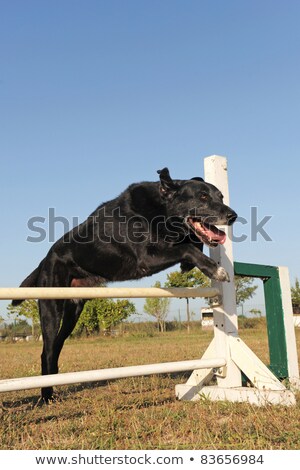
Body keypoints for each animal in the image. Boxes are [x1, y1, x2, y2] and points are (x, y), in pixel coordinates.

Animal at [13, 169, 237, 400]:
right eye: (203, 196)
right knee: (47, 351)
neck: (161, 209)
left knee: (56, 347)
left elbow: (193, 242)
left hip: (73, 311)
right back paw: (46, 395)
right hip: (51, 306)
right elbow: (186, 248)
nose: (233, 216)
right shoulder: (146, 259)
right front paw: (215, 269)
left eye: (220, 196)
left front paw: (191, 263)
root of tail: (45, 260)